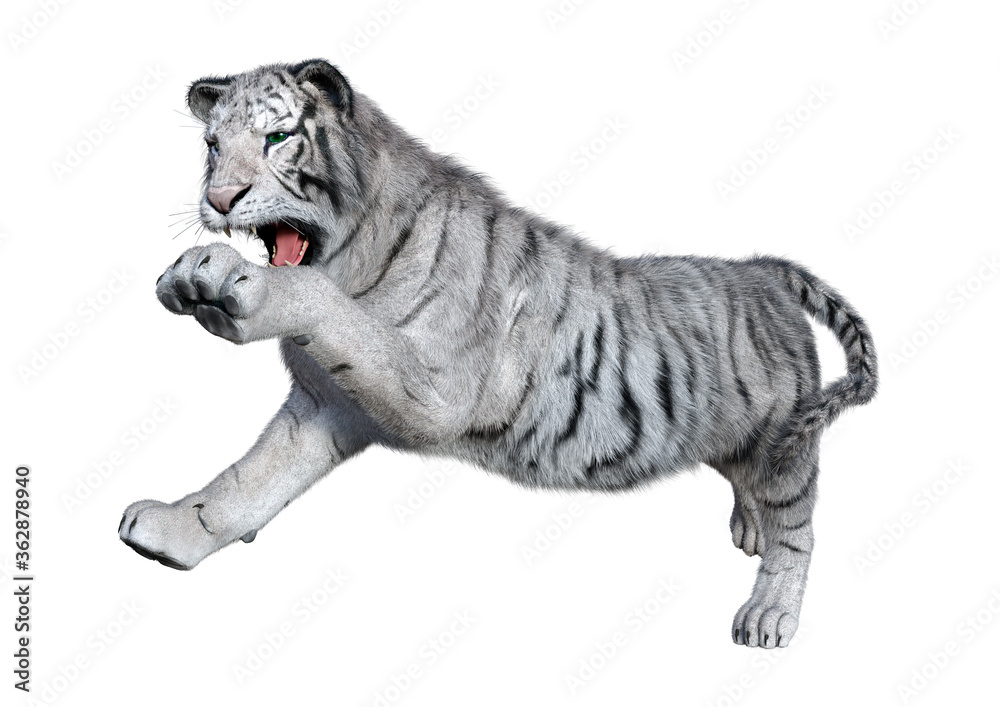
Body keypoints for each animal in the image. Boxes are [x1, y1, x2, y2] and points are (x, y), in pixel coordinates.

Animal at [118, 59, 878, 649]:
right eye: (213, 145)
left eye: (277, 138)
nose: (219, 199)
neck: (349, 250)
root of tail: (762, 270)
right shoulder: (324, 404)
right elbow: (247, 483)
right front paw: (171, 529)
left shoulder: (432, 389)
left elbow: (324, 307)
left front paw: (225, 278)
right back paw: (749, 528)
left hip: (784, 444)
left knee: (798, 527)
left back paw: (769, 612)